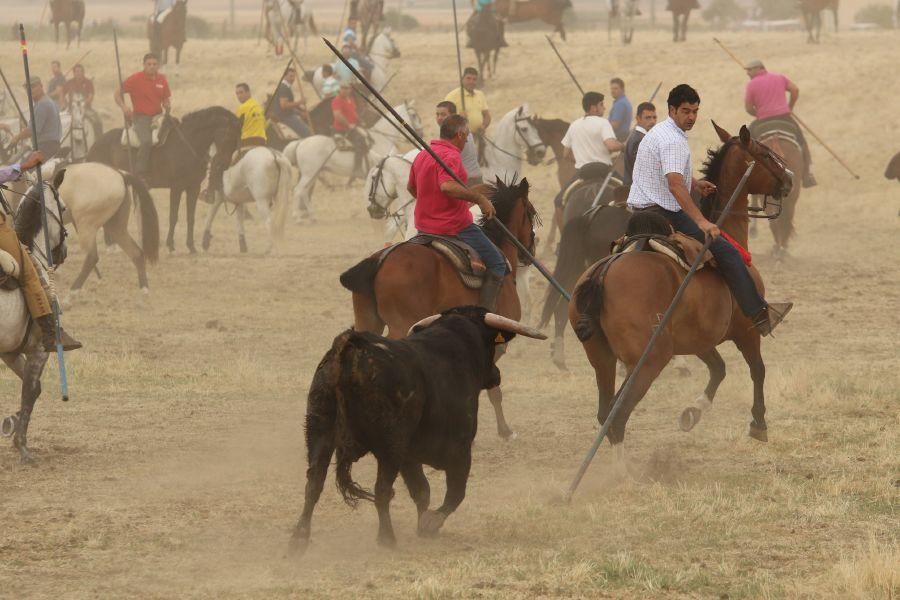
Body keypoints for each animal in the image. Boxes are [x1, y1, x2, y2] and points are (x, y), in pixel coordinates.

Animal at [86, 108, 241, 253]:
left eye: (236, 140)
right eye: (228, 136)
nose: (223, 164)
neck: (188, 143)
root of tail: (95, 145)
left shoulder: (193, 188)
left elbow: (191, 217)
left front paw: (191, 246)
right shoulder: (177, 187)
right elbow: (173, 216)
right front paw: (170, 245)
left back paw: (112, 245)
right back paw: (110, 246)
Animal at [286, 101, 424, 223]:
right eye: (413, 115)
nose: (421, 133)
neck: (381, 139)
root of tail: (301, 142)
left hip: (313, 174)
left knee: (304, 191)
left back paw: (312, 216)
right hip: (309, 174)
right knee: (298, 190)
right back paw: (297, 217)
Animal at [338, 176, 536, 438]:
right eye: (531, 213)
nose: (531, 249)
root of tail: (379, 260)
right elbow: (493, 388)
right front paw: (505, 430)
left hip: (367, 321)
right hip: (400, 326)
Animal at [568, 123, 796, 454]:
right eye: (765, 154)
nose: (790, 177)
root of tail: (604, 271)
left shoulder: (698, 339)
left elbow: (718, 369)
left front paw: (692, 413)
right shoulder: (747, 331)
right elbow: (757, 369)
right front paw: (758, 423)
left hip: (602, 357)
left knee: (606, 412)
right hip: (649, 360)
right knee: (617, 415)